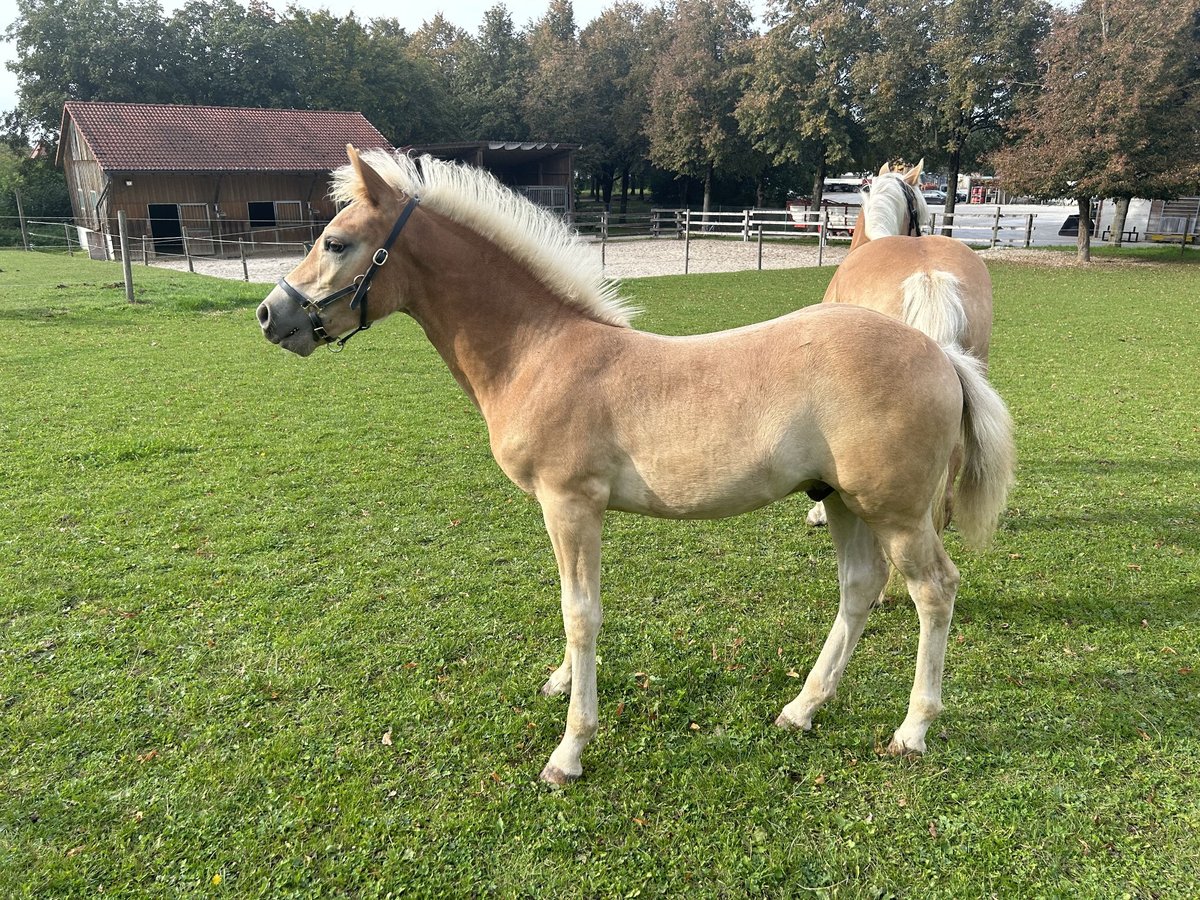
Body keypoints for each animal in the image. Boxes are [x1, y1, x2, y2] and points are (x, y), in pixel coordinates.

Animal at [255, 146, 1012, 782]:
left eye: (336, 242)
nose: (268, 315)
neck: (539, 351)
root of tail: (940, 353)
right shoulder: (561, 509)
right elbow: (569, 601)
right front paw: (561, 683)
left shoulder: (571, 503)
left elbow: (582, 613)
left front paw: (570, 749)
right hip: (841, 500)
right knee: (859, 589)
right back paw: (802, 709)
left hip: (896, 511)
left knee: (934, 591)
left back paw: (912, 730)